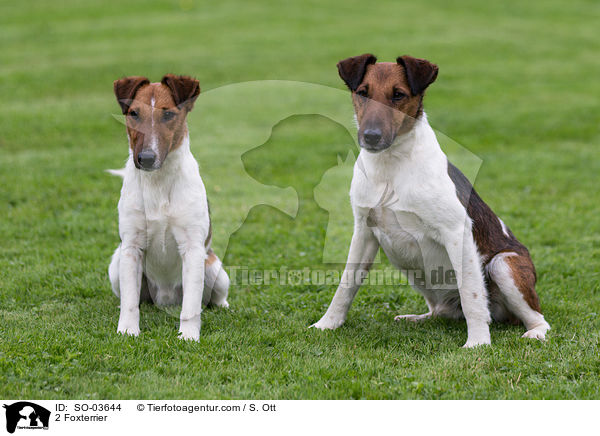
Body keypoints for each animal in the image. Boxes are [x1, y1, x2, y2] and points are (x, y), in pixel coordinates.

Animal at [108, 74, 230, 340]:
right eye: (134, 113)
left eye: (168, 115)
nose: (145, 159)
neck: (158, 183)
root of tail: (166, 299)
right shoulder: (131, 247)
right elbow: (129, 302)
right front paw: (128, 331)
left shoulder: (193, 249)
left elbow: (191, 306)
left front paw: (188, 336)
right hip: (115, 266)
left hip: (214, 269)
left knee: (212, 299)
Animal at [312, 55, 552, 348]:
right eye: (362, 93)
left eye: (398, 95)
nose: (371, 136)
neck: (392, 166)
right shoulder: (364, 232)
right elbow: (345, 286)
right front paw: (327, 323)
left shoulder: (457, 233)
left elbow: (472, 295)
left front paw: (478, 343)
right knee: (440, 311)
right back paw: (417, 318)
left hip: (503, 265)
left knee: (535, 317)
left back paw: (535, 332)